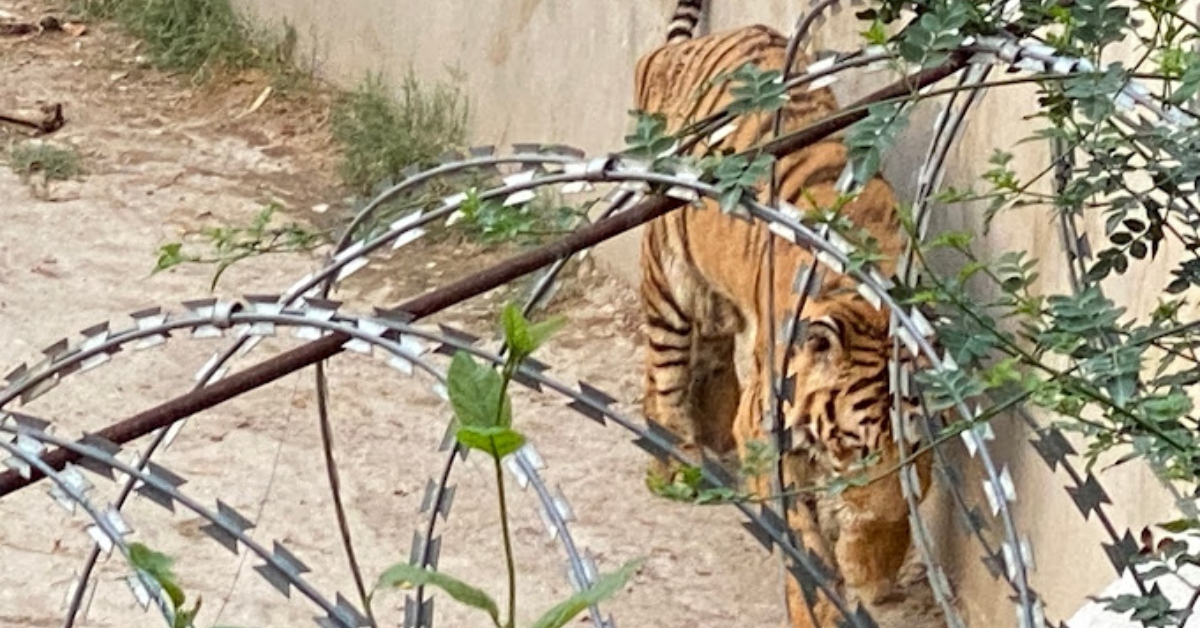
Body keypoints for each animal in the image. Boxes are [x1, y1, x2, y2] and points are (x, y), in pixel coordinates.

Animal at [633, 2, 931, 624]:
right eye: (856, 447)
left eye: (912, 441)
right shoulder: (769, 430)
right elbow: (803, 539)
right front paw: (820, 602)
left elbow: (893, 511)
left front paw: (870, 568)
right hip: (671, 277)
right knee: (666, 369)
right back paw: (676, 463)